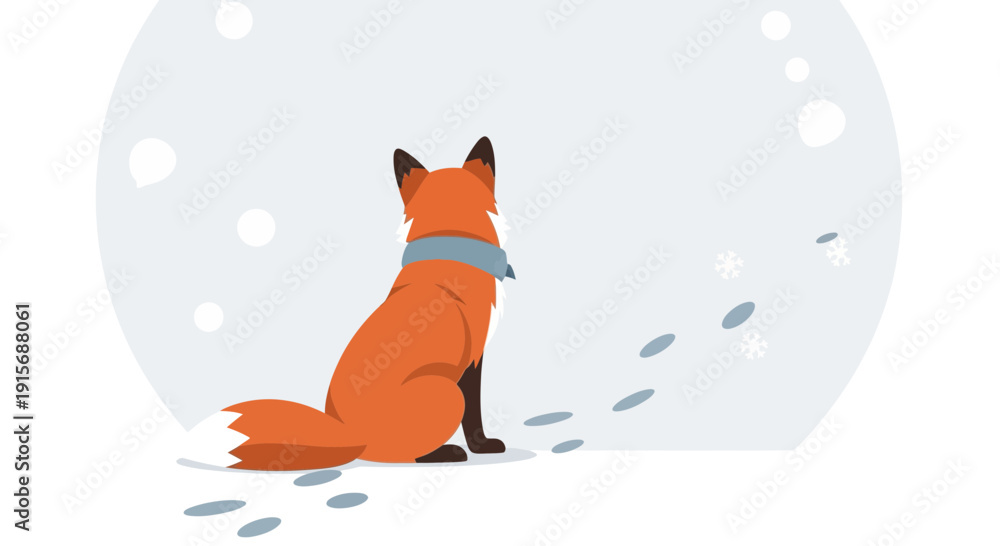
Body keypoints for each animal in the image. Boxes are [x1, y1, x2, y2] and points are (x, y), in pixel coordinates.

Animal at [190, 137, 514, 471]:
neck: (451, 241)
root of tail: (351, 435)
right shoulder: (473, 360)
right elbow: (473, 415)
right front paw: (482, 447)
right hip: (446, 391)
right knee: (404, 453)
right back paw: (444, 453)